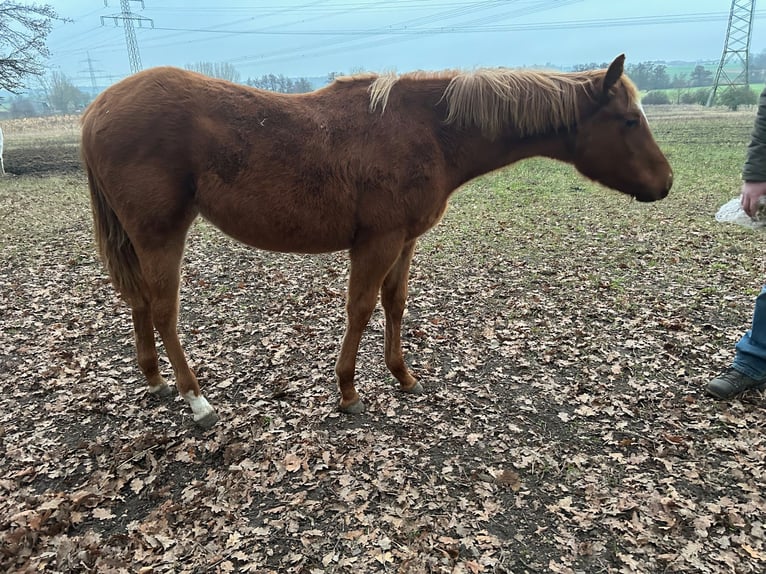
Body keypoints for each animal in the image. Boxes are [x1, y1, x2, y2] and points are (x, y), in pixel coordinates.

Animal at [80, 54, 672, 428]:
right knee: (162, 310)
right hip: (161, 235)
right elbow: (361, 308)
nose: (666, 183)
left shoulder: (404, 241)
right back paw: (197, 401)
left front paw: (403, 375)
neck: (429, 129)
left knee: (140, 303)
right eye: (628, 120)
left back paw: (156, 381)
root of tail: (96, 109)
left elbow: (394, 303)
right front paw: (348, 392)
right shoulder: (378, 241)